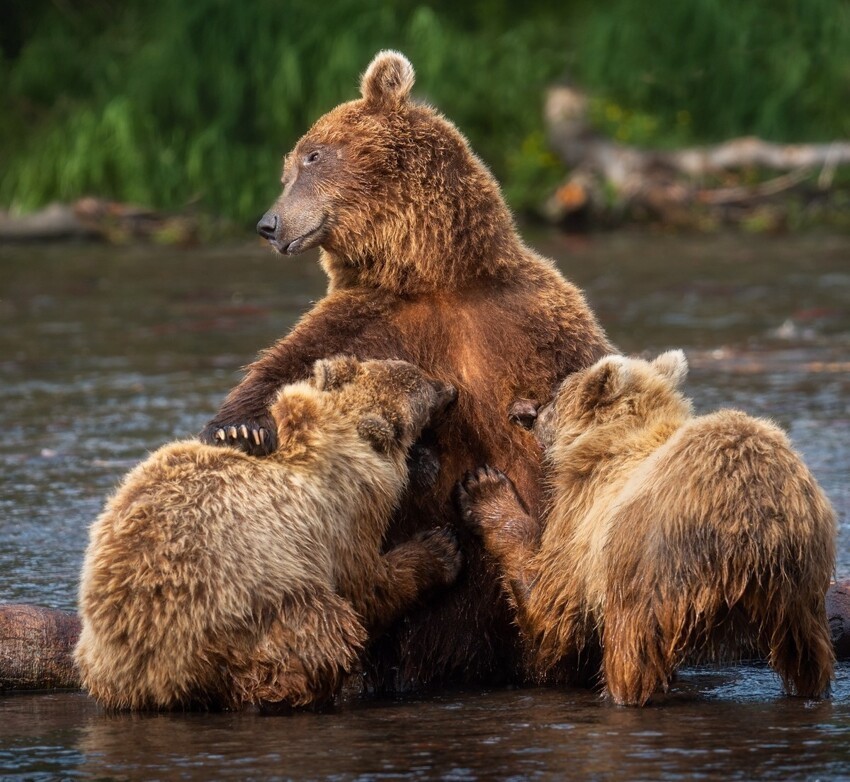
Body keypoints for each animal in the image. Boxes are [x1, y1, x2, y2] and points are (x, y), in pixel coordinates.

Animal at [199, 50, 608, 692]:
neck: (435, 275)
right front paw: (238, 426)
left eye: (312, 156)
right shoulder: (371, 318)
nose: (269, 224)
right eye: (290, 166)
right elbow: (291, 366)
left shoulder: (531, 320)